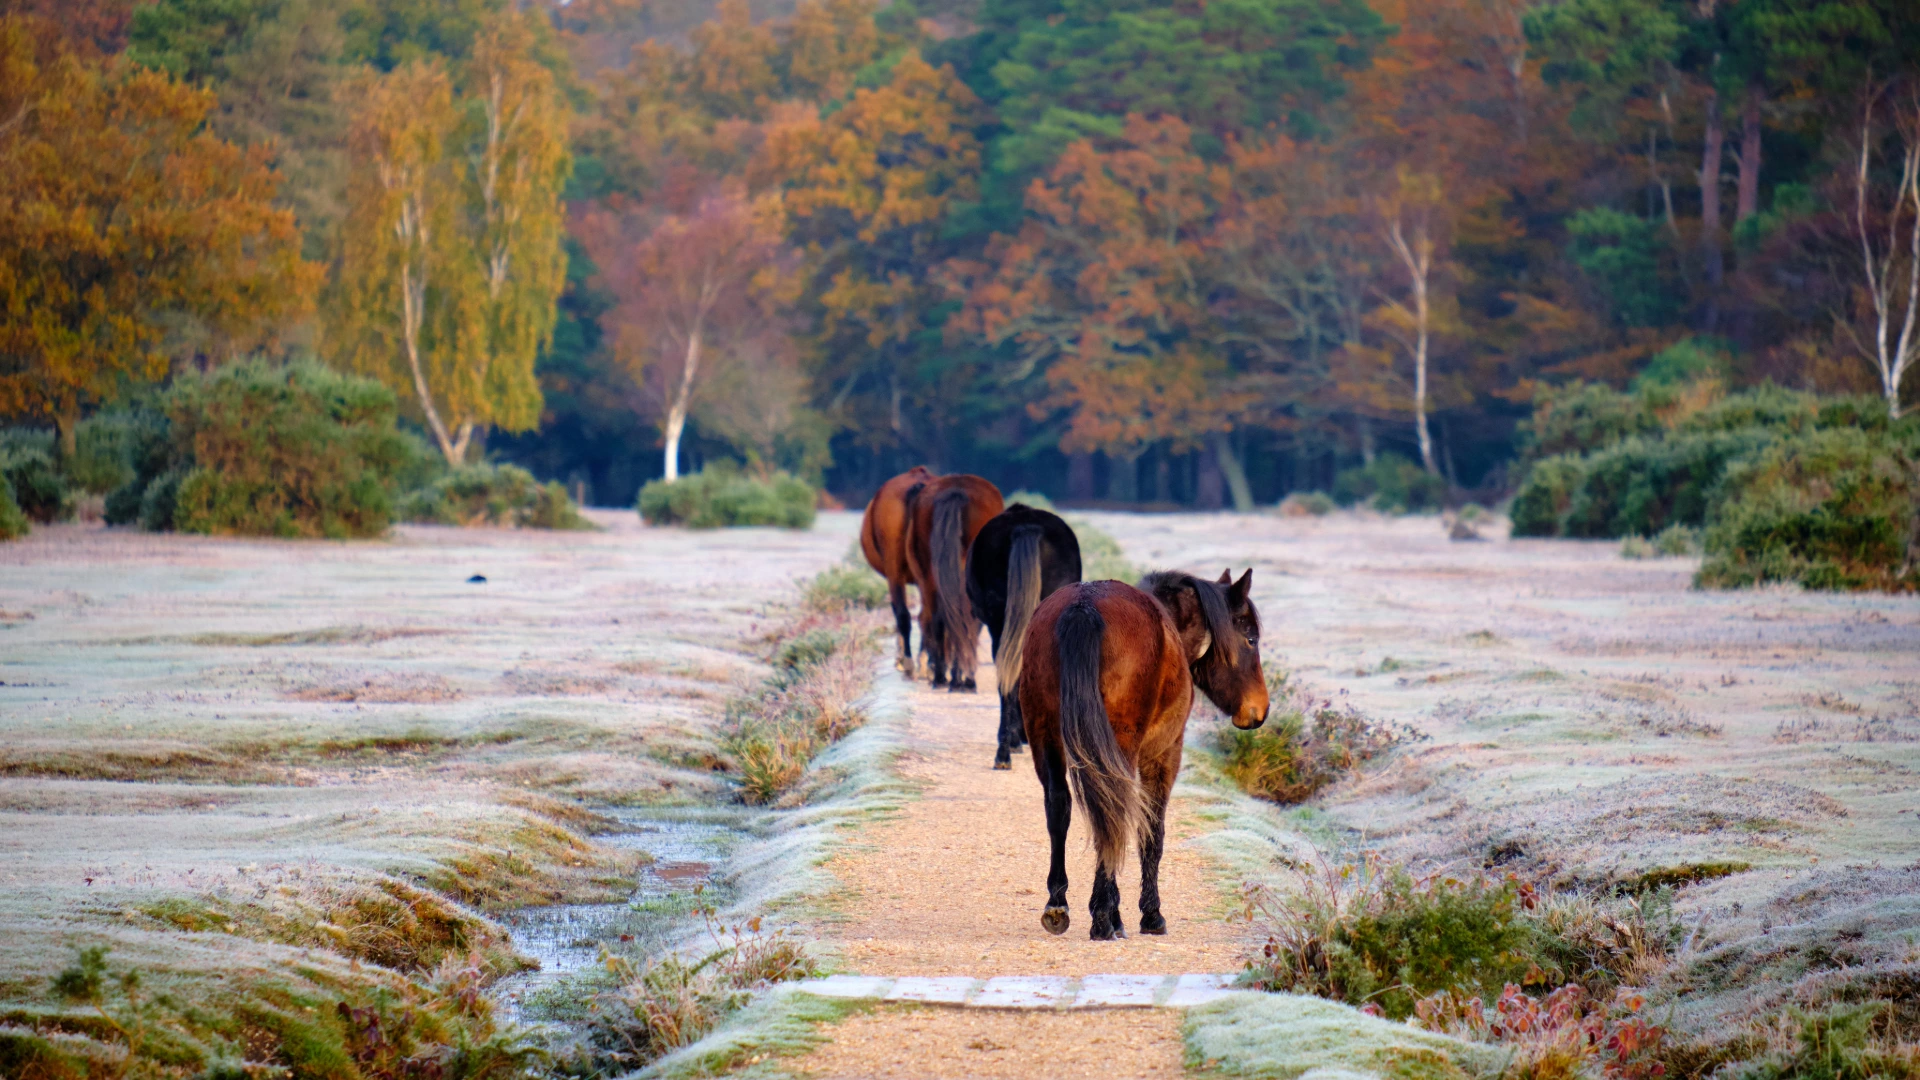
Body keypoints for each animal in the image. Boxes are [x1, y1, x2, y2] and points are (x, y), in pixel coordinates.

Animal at [906, 472, 1013, 687]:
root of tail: (956, 491)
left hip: (931, 579)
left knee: (940, 619)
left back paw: (944, 677)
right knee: (964, 619)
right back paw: (961, 678)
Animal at [1013, 572, 1267, 933]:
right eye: (1250, 639)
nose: (1259, 708)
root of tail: (1083, 607)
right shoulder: (1164, 754)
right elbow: (1152, 831)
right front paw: (1149, 913)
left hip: (1044, 736)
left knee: (1060, 807)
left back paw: (1058, 905)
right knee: (1112, 813)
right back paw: (1104, 917)